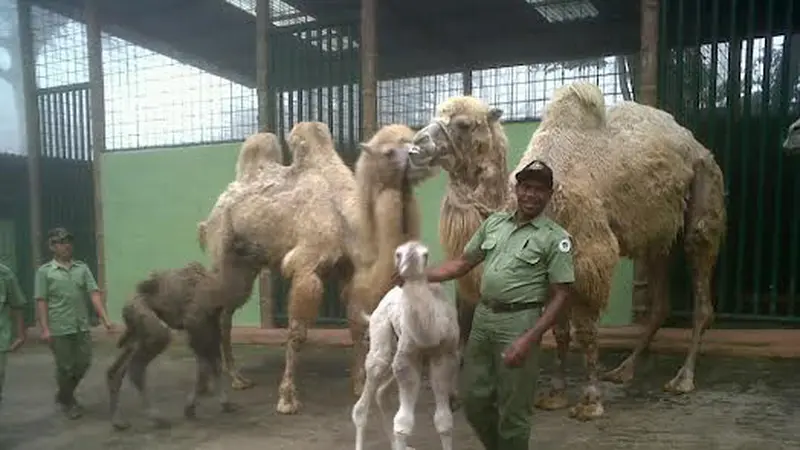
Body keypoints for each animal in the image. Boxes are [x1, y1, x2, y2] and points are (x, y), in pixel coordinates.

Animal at [106, 209, 266, 430]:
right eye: (243, 245)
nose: (263, 249)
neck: (217, 290)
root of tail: (128, 302)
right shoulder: (195, 324)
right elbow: (205, 368)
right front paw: (190, 408)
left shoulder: (210, 324)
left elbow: (214, 364)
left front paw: (225, 404)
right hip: (150, 323)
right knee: (137, 368)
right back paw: (156, 417)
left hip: (137, 329)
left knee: (116, 369)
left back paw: (119, 421)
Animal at [198, 120, 438, 414]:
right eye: (389, 152)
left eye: (414, 139)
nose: (424, 152)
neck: (349, 222)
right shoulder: (306, 266)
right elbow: (298, 332)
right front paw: (287, 399)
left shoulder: (348, 270)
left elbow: (355, 327)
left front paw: (359, 385)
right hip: (224, 252)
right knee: (221, 309)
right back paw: (232, 378)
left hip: (247, 263)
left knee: (227, 311)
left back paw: (236, 377)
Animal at [354, 241, 460, 450]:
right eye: (398, 253)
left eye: (425, 254)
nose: (409, 260)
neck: (430, 334)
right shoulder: (407, 357)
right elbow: (403, 423)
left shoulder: (445, 356)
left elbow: (444, 421)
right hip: (381, 337)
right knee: (363, 404)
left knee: (381, 393)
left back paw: (397, 445)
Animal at [410, 81, 728, 422]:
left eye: (464, 124)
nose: (416, 145)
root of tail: (696, 144)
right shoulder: (551, 265)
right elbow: (560, 330)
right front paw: (555, 395)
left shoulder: (589, 256)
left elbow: (585, 331)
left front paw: (590, 401)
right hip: (657, 232)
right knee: (660, 298)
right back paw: (623, 370)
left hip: (705, 191)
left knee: (701, 281)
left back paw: (683, 378)